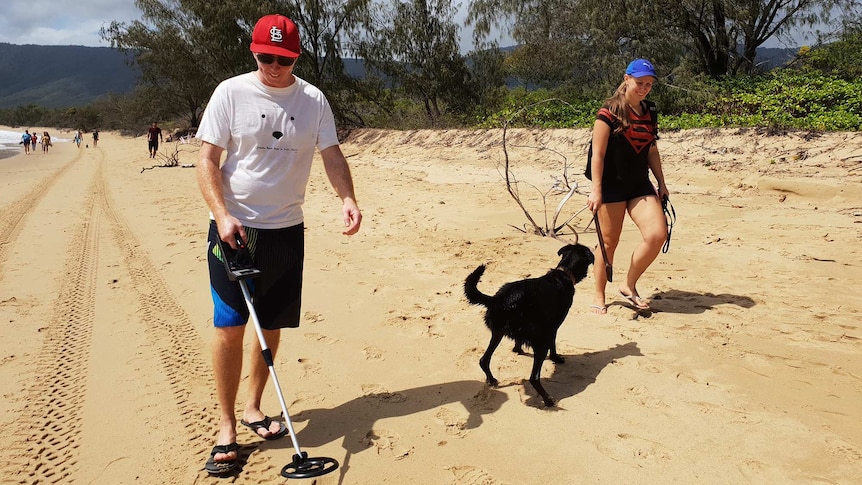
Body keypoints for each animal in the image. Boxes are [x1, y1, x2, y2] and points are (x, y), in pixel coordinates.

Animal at [466, 242, 592, 404]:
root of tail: (498, 299)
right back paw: (548, 400)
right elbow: (554, 344)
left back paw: (491, 379)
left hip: (498, 332)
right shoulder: (553, 327)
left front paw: (517, 350)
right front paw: (556, 358)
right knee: (534, 378)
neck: (564, 273)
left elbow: (518, 342)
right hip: (540, 341)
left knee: (484, 359)